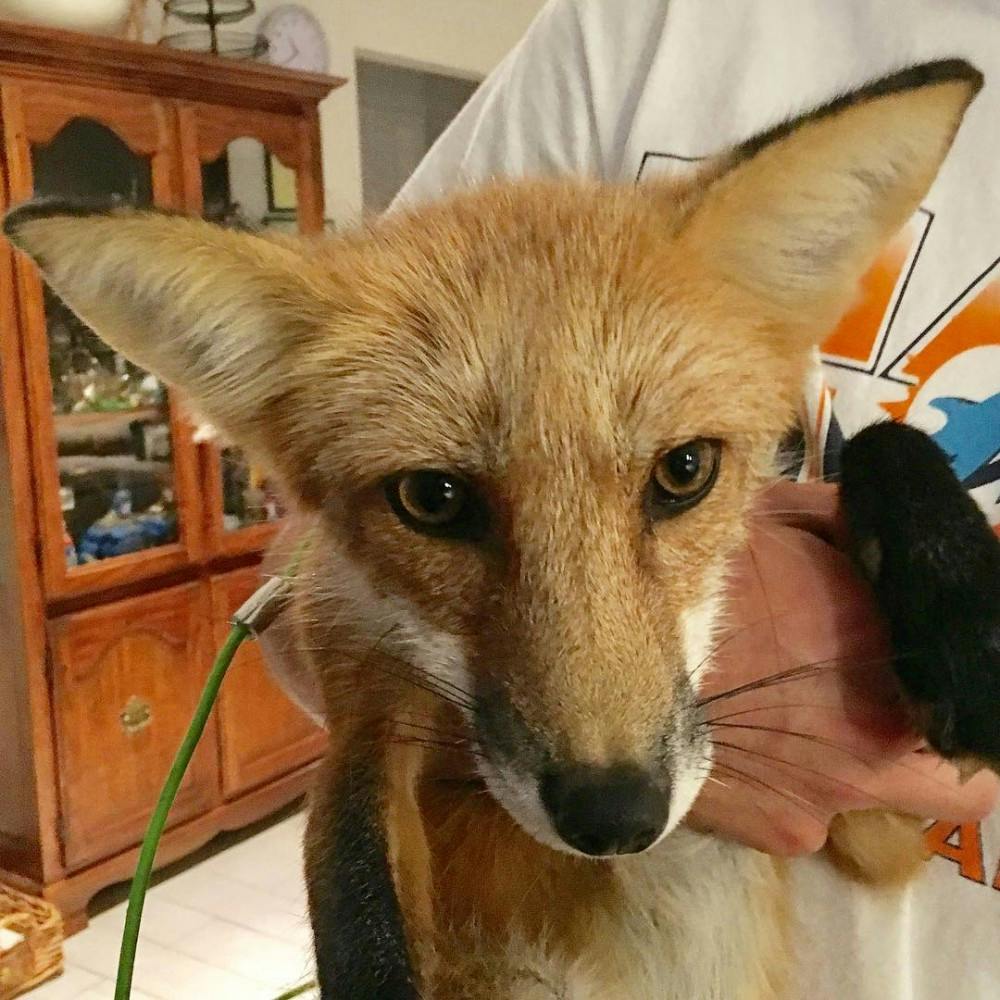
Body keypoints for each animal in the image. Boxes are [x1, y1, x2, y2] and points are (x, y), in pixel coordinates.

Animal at [6, 59, 1000, 1000]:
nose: (613, 816)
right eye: (434, 500)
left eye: (685, 471)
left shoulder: (871, 829)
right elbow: (354, 889)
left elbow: (884, 441)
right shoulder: (366, 708)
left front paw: (963, 617)